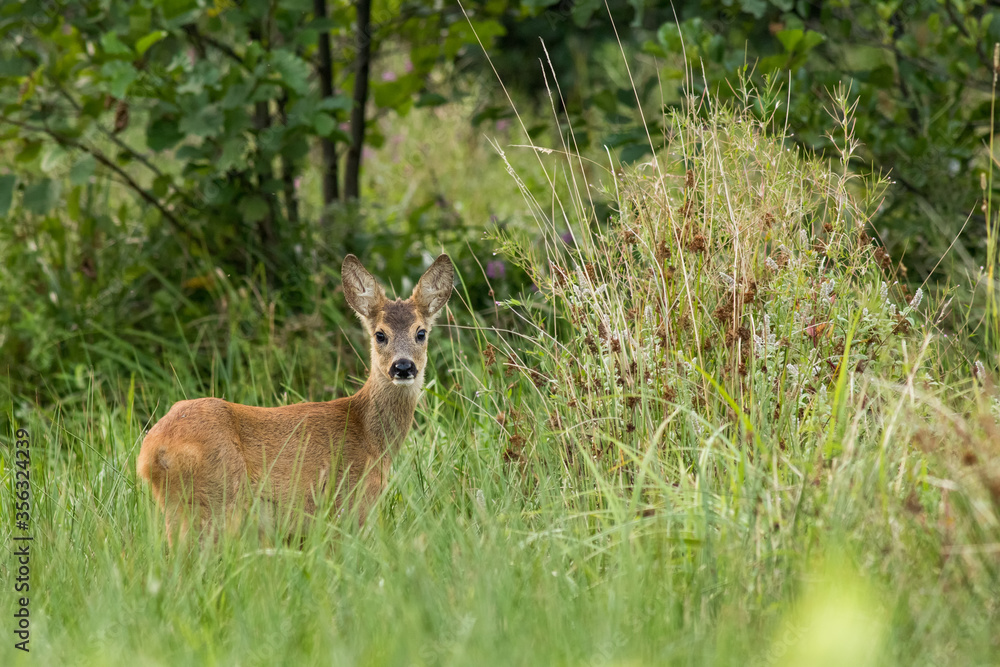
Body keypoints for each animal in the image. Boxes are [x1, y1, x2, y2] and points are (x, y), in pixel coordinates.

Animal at [136, 254, 454, 544]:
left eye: (421, 333)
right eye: (380, 335)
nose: (403, 367)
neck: (370, 437)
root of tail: (152, 451)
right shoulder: (348, 503)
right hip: (217, 495)